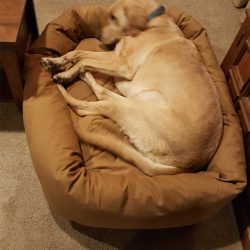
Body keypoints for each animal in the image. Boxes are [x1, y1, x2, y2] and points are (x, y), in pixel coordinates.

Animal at [41, 0, 223, 176]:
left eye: (114, 17)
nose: (98, 36)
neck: (152, 21)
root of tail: (186, 167)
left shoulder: (123, 65)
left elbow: (82, 61)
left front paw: (66, 74)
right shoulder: (115, 56)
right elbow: (78, 53)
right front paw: (55, 61)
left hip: (134, 107)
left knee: (87, 104)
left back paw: (65, 85)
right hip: (137, 99)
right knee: (103, 91)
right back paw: (84, 75)